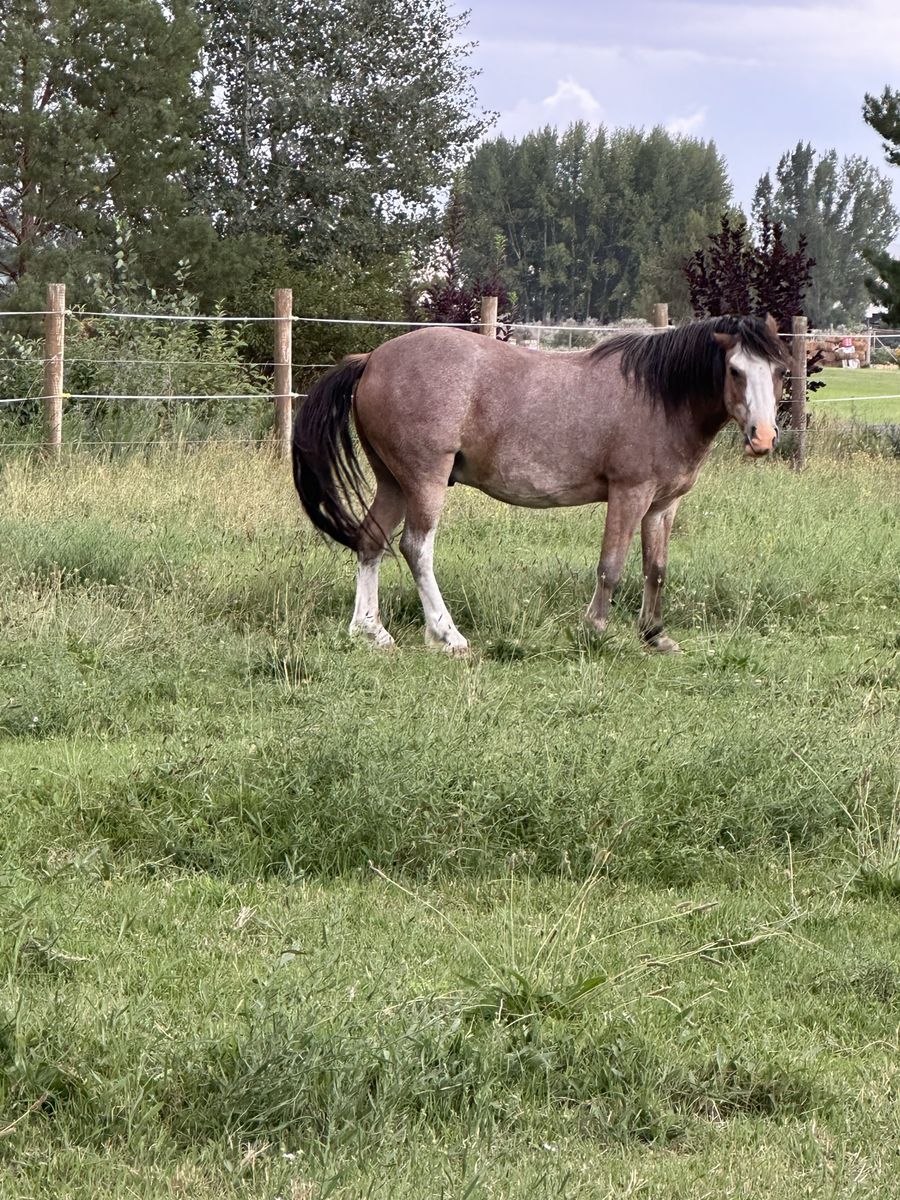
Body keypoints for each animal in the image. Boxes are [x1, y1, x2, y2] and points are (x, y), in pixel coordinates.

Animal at [292, 314, 789, 656]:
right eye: (735, 371)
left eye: (780, 371)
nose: (764, 438)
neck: (661, 396)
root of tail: (372, 359)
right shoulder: (629, 493)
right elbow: (611, 566)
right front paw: (594, 630)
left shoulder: (662, 505)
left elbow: (656, 569)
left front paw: (655, 635)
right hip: (424, 480)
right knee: (416, 549)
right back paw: (448, 634)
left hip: (393, 481)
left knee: (370, 542)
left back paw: (370, 630)